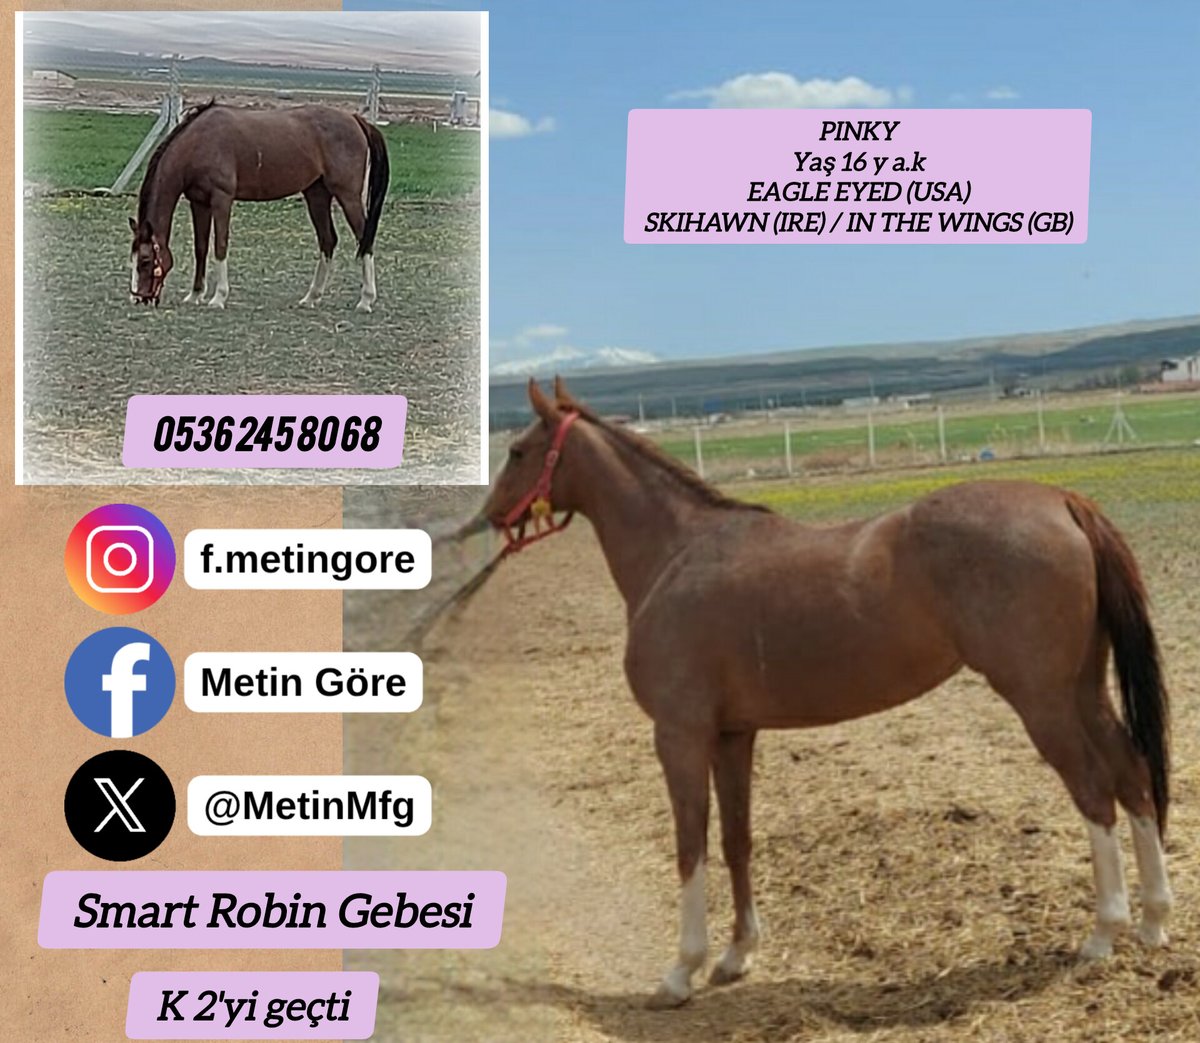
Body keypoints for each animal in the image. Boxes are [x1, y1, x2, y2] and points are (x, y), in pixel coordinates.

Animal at [128, 101, 389, 311]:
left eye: (145, 261)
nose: (138, 298)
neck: (198, 142)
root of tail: (355, 119)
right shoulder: (199, 202)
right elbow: (200, 248)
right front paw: (195, 295)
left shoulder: (221, 199)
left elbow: (220, 245)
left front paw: (218, 298)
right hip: (317, 194)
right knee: (328, 240)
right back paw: (311, 297)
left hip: (348, 195)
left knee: (364, 239)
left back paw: (366, 300)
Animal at [479, 377, 1173, 1009]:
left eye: (516, 450)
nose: (489, 518)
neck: (677, 553)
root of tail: (1061, 500)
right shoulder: (732, 735)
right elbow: (736, 839)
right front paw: (737, 955)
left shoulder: (679, 734)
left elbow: (689, 844)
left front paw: (681, 971)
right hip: (1083, 690)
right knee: (1132, 774)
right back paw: (1154, 920)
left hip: (1042, 701)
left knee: (1094, 790)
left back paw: (1103, 933)